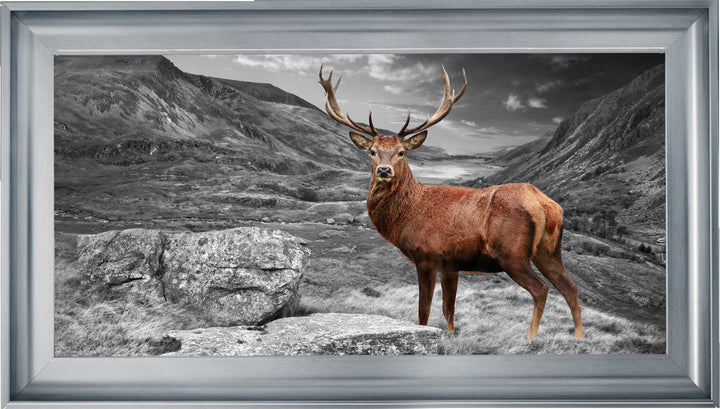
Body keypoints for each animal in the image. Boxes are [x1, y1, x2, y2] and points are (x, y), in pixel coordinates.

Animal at [318, 65, 583, 340]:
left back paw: (531, 338)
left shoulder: (427, 256)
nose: (383, 170)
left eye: (402, 152)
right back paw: (579, 337)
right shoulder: (451, 264)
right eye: (372, 151)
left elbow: (424, 312)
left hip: (512, 253)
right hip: (549, 251)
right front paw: (451, 336)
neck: (407, 215)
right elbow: (449, 311)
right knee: (570, 288)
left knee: (541, 289)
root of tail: (547, 205)